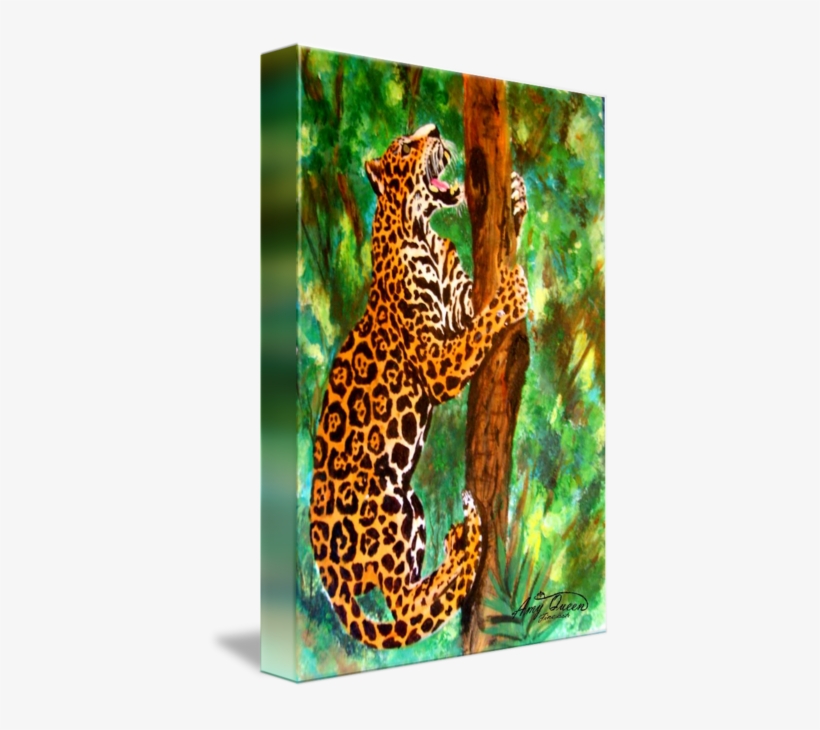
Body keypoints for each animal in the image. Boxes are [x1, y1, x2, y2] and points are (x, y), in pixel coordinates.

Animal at [309, 123, 530, 649]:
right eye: (407, 144)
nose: (434, 129)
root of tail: (324, 566)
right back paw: (467, 544)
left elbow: (475, 308)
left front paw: (515, 194)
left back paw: (460, 542)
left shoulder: (459, 306)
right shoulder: (435, 358)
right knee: (405, 607)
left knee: (410, 594)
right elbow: (482, 327)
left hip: (412, 504)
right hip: (384, 498)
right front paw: (512, 291)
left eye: (422, 132)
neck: (422, 231)